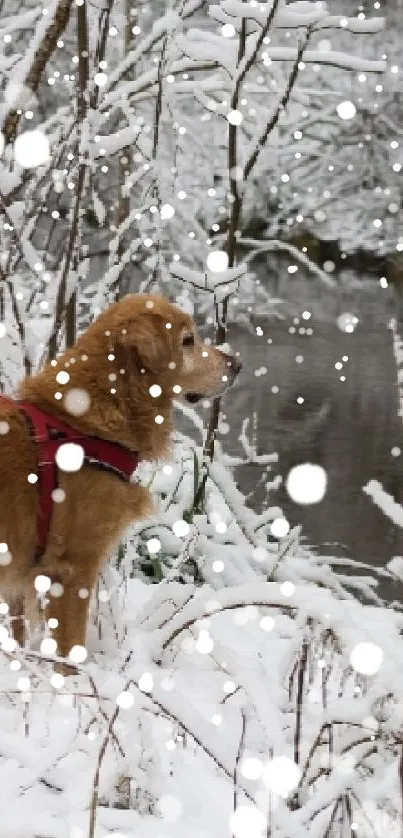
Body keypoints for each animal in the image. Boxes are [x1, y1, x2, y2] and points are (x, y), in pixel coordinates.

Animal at [0, 292, 241, 668]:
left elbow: (20, 636)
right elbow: (70, 650)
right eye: (188, 340)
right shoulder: (73, 569)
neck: (82, 421)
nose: (237, 364)